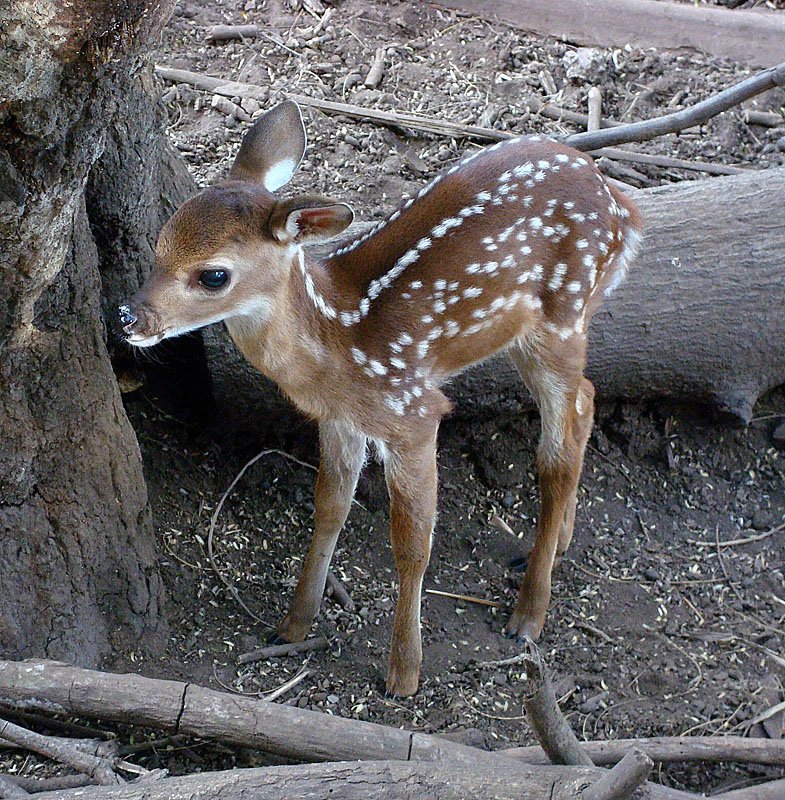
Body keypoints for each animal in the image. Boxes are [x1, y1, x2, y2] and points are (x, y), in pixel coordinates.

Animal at [118, 100, 644, 696]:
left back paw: (528, 614)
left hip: (560, 313)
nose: (129, 316)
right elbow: (329, 506)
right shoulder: (339, 420)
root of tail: (620, 204)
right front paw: (293, 623)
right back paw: (560, 543)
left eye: (213, 276)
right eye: (158, 245)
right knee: (587, 398)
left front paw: (404, 672)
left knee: (558, 447)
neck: (337, 343)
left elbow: (411, 543)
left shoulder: (412, 412)